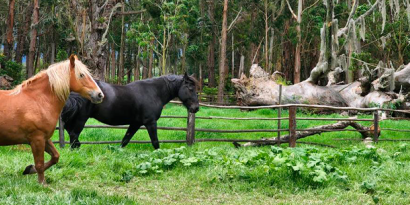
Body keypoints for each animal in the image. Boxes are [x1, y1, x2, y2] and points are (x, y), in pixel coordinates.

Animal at [0, 54, 104, 184]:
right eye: (81, 75)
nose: (100, 95)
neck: (37, 100)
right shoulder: (37, 139)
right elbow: (39, 164)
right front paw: (42, 183)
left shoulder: (45, 138)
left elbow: (55, 157)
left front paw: (29, 169)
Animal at [61, 73, 200, 149]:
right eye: (190, 88)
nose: (196, 108)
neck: (154, 92)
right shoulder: (150, 122)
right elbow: (155, 141)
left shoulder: (135, 123)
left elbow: (125, 139)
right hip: (81, 118)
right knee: (73, 134)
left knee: (70, 131)